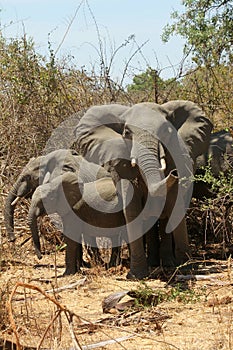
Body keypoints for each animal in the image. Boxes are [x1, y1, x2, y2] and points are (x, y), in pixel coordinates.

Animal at [74, 100, 213, 278]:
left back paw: (167, 263)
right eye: (127, 133)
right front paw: (137, 275)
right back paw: (153, 263)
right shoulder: (121, 163)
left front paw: (186, 269)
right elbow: (132, 210)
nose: (174, 174)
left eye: (166, 131)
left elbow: (174, 206)